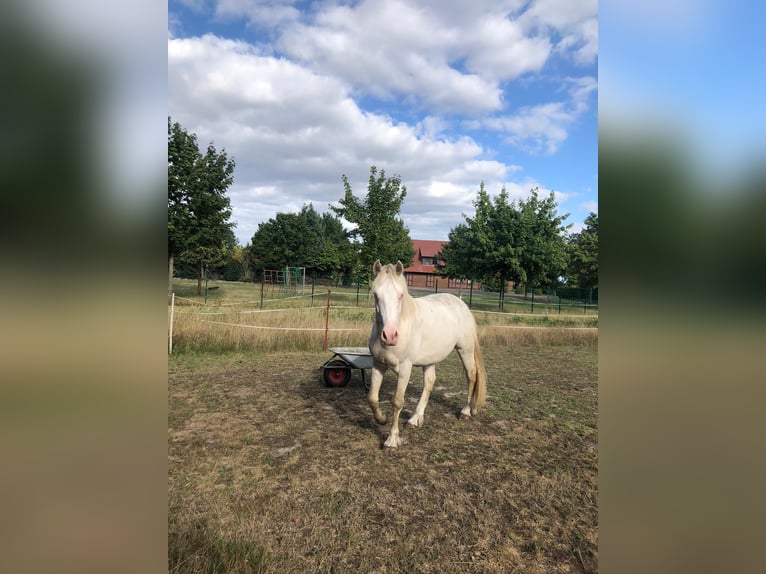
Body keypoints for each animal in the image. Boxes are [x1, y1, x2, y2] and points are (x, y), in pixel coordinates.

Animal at [367, 260, 487, 448]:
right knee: (430, 382)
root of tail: (462, 304)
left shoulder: (405, 369)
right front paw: (382, 419)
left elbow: (397, 402)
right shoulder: (378, 365)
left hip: (465, 350)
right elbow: (372, 398)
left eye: (400, 295)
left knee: (471, 376)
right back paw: (415, 419)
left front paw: (392, 440)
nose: (390, 335)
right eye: (376, 295)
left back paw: (466, 411)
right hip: (430, 359)